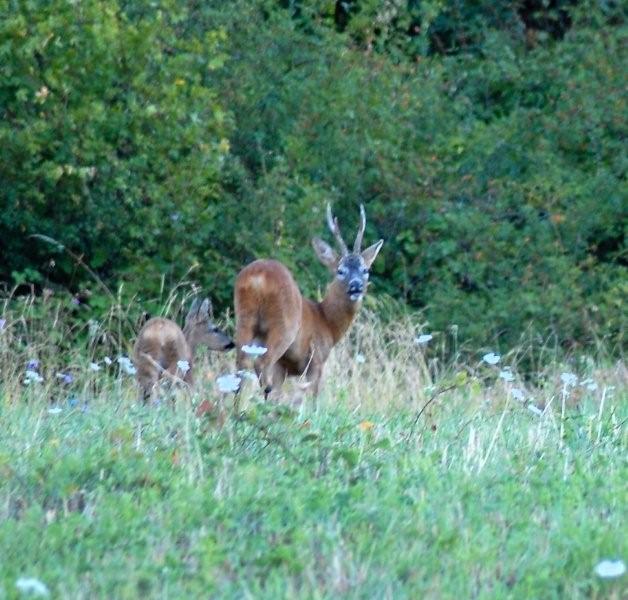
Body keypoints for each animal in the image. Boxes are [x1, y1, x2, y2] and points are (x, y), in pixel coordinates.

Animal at [234, 205, 382, 398]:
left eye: (365, 270)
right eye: (340, 270)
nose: (355, 286)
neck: (327, 322)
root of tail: (259, 277)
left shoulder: (284, 366)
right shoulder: (316, 359)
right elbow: (313, 396)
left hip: (244, 318)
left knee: (240, 366)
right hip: (284, 326)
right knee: (261, 363)